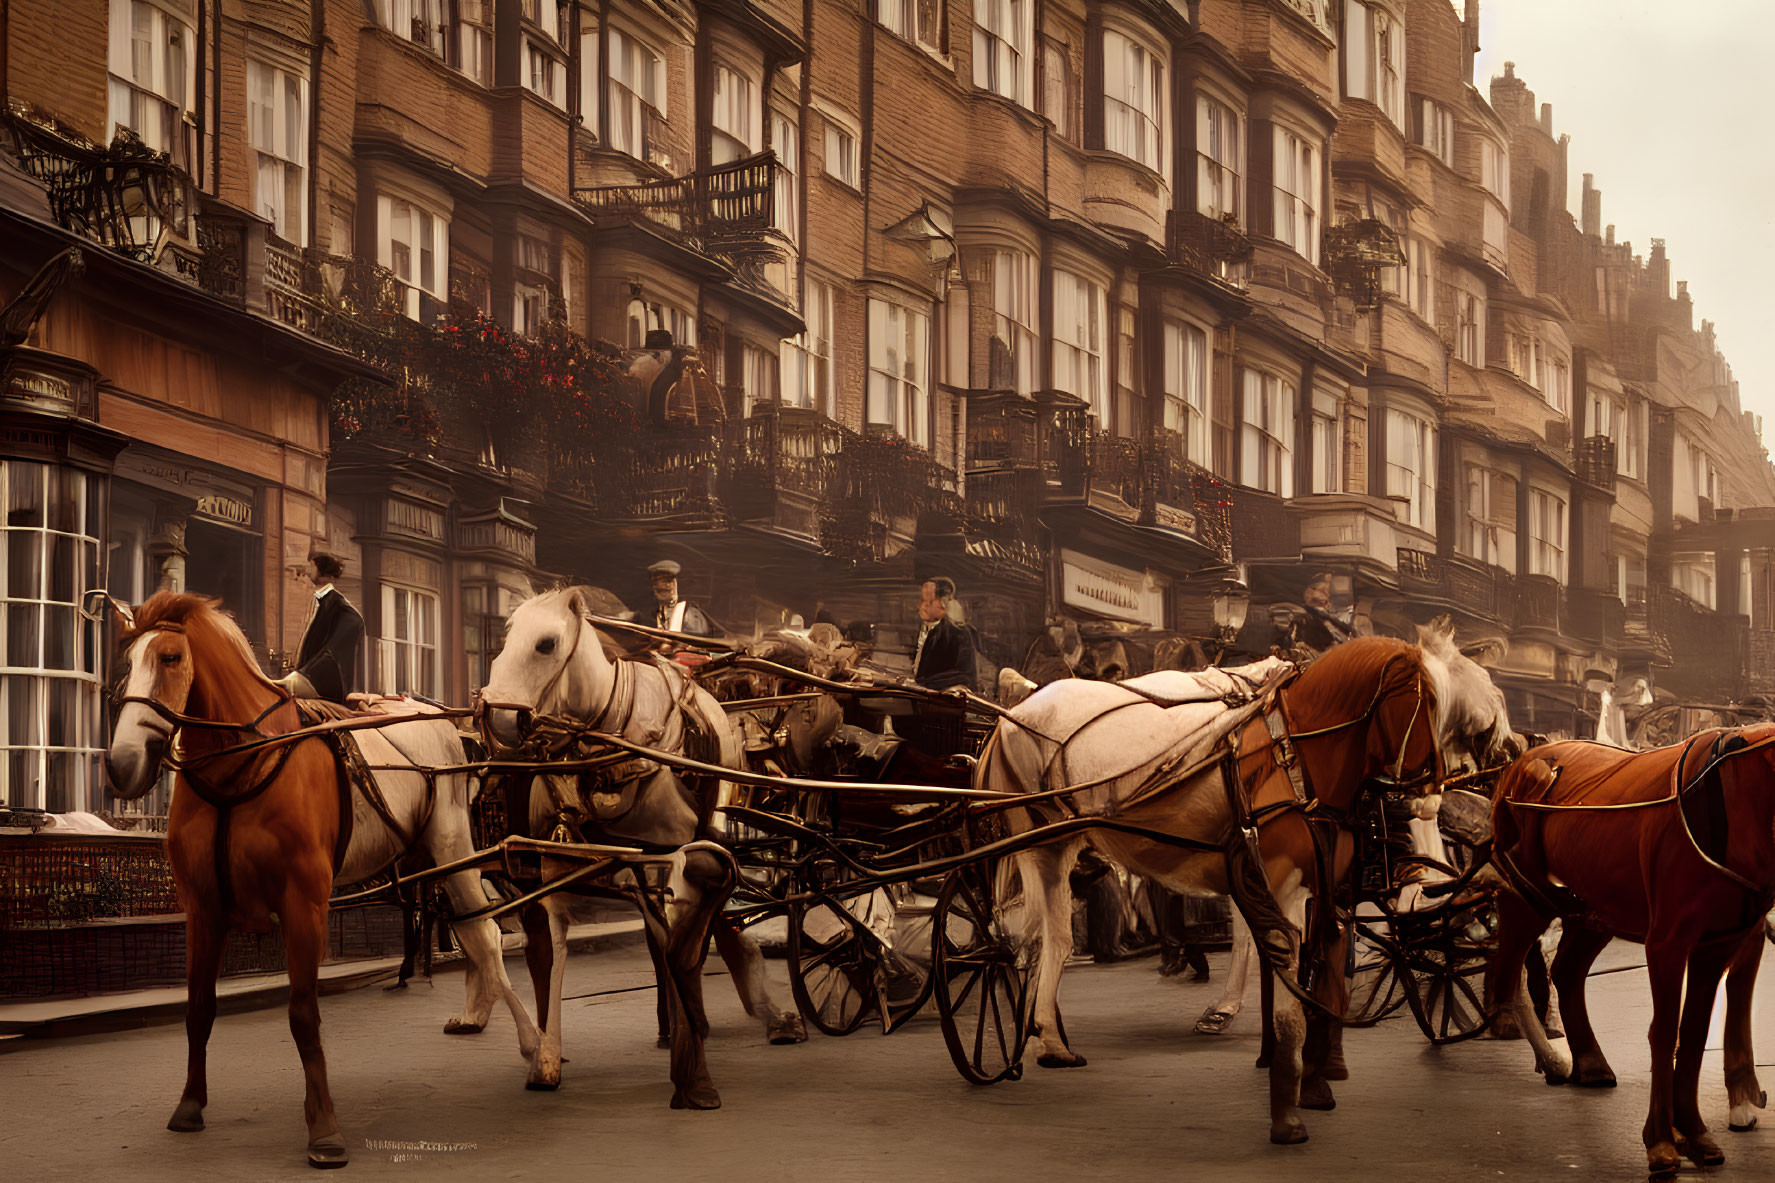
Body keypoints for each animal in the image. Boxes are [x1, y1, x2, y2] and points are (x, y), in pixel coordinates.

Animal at [102, 593, 532, 1165]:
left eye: (170, 657)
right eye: (126, 662)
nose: (122, 764)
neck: (238, 767)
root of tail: (440, 717)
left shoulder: (303, 902)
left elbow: (304, 1014)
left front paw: (324, 1129)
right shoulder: (202, 907)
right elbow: (198, 1008)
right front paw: (190, 1104)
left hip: (452, 845)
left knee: (484, 935)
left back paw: (535, 1048)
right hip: (428, 859)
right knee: (469, 930)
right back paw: (477, 1014)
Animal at [475, 586, 802, 1094]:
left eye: (547, 643)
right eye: (507, 637)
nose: (495, 718)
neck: (612, 737)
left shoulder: (674, 855)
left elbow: (685, 936)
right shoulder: (555, 864)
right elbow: (555, 953)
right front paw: (547, 1056)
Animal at [986, 635, 1512, 1143]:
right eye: (1421, 701)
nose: (1429, 793)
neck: (1295, 751)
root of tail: (1015, 714)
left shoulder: (1316, 889)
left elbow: (1322, 983)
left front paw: (1310, 1076)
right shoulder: (1277, 881)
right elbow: (1286, 986)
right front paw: (1285, 1098)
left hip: (1057, 846)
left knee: (1045, 939)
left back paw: (1048, 1036)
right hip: (1043, 843)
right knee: (1048, 940)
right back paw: (1046, 1035)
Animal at [1491, 724, 1767, 1172]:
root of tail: (1523, 763)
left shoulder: (1723, 939)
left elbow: (1696, 1030)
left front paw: (1700, 1130)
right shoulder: (1667, 940)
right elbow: (1664, 1030)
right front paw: (1662, 1141)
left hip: (1594, 909)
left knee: (1565, 971)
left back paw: (1589, 1064)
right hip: (1526, 897)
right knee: (1511, 973)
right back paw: (1552, 1059)